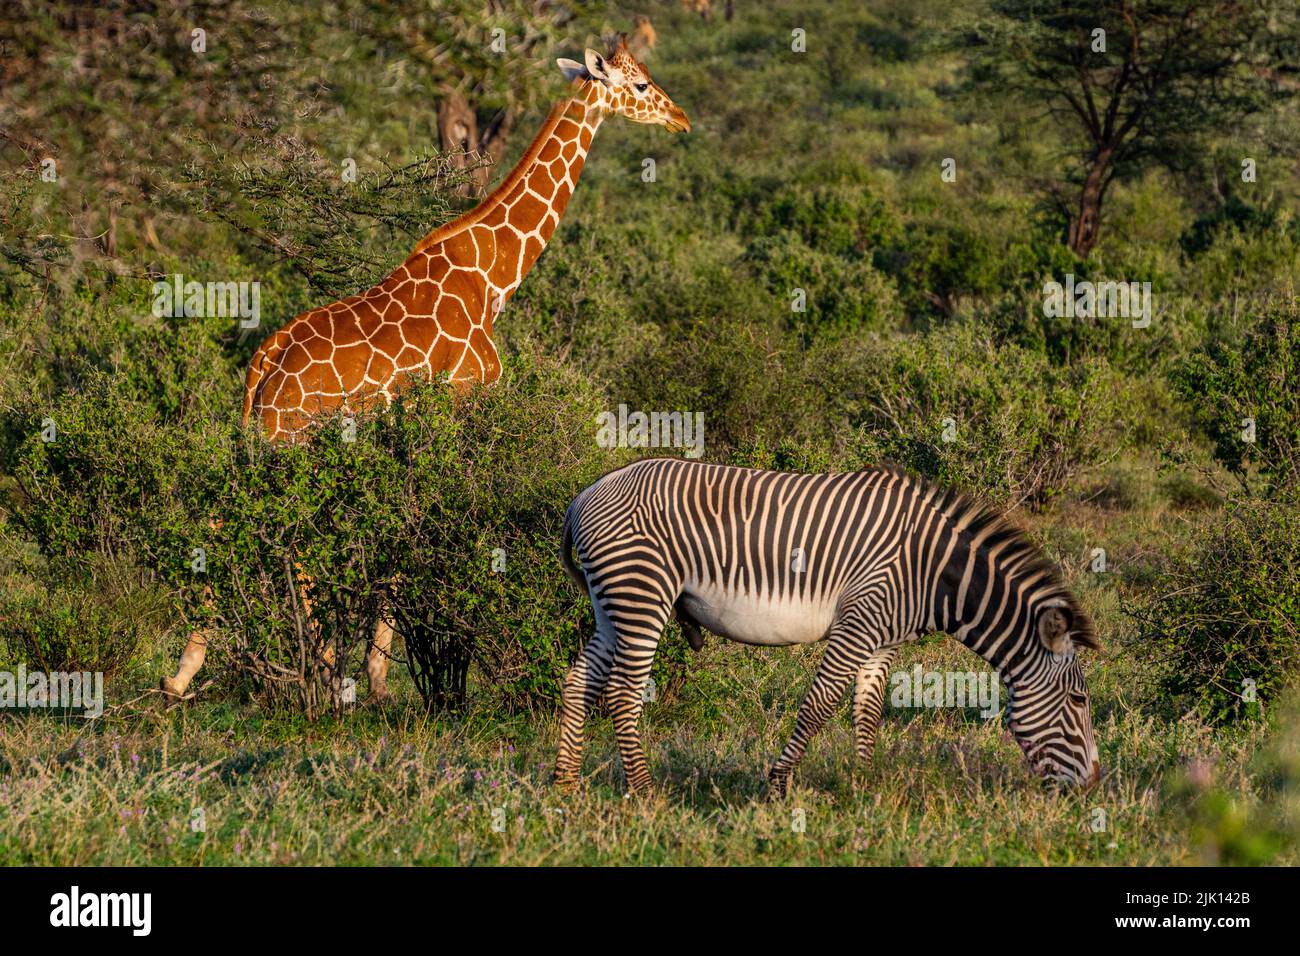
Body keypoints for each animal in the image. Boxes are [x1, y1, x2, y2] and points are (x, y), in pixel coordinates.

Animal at [160, 34, 691, 703]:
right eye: (640, 84)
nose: (682, 117)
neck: (493, 276)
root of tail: (264, 366)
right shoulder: (465, 401)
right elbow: (441, 520)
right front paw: (385, 674)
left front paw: (381, 670)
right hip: (296, 443)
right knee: (290, 533)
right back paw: (318, 668)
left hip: (256, 441)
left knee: (221, 516)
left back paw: (187, 672)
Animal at [555, 457, 1101, 795]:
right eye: (1079, 700)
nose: (1095, 784)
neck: (931, 571)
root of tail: (585, 495)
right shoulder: (857, 624)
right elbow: (819, 705)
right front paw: (777, 786)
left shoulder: (882, 641)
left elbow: (868, 711)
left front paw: (862, 783)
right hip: (641, 594)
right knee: (623, 692)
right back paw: (646, 793)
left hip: (612, 604)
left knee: (579, 681)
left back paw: (566, 785)